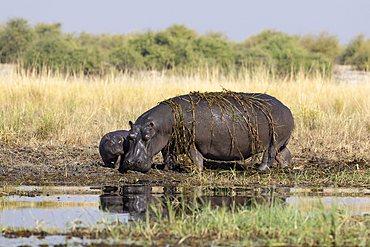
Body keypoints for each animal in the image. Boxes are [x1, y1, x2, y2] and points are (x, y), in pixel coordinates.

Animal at [123, 89, 294, 173]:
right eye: (129, 136)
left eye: (147, 137)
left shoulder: (192, 143)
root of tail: (286, 107)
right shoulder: (168, 143)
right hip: (280, 142)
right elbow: (168, 157)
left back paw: (260, 170)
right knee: (284, 154)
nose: (131, 163)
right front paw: (167, 169)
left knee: (269, 157)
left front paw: (196, 171)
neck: (165, 122)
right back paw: (284, 167)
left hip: (272, 142)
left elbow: (195, 157)